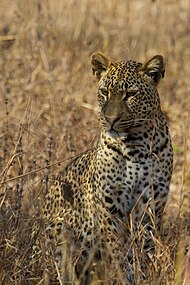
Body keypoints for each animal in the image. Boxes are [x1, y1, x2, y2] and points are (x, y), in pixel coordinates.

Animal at [32, 52, 172, 282]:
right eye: (105, 92)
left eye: (130, 94)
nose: (110, 119)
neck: (136, 146)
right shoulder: (109, 205)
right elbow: (117, 250)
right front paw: (125, 275)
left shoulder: (151, 203)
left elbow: (143, 246)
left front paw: (142, 274)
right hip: (58, 228)